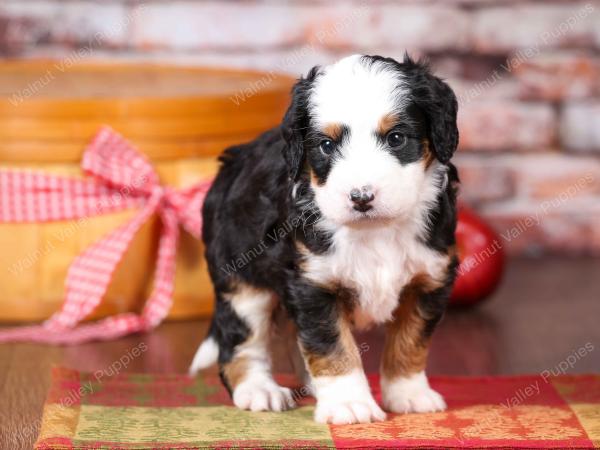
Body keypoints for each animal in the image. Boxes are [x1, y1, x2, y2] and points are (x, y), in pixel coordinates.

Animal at [191, 53, 460, 426]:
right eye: (327, 145)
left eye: (396, 138)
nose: (361, 197)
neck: (373, 230)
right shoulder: (313, 283)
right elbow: (332, 346)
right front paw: (349, 404)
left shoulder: (429, 279)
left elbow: (410, 340)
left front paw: (409, 394)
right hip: (243, 282)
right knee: (241, 343)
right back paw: (259, 390)